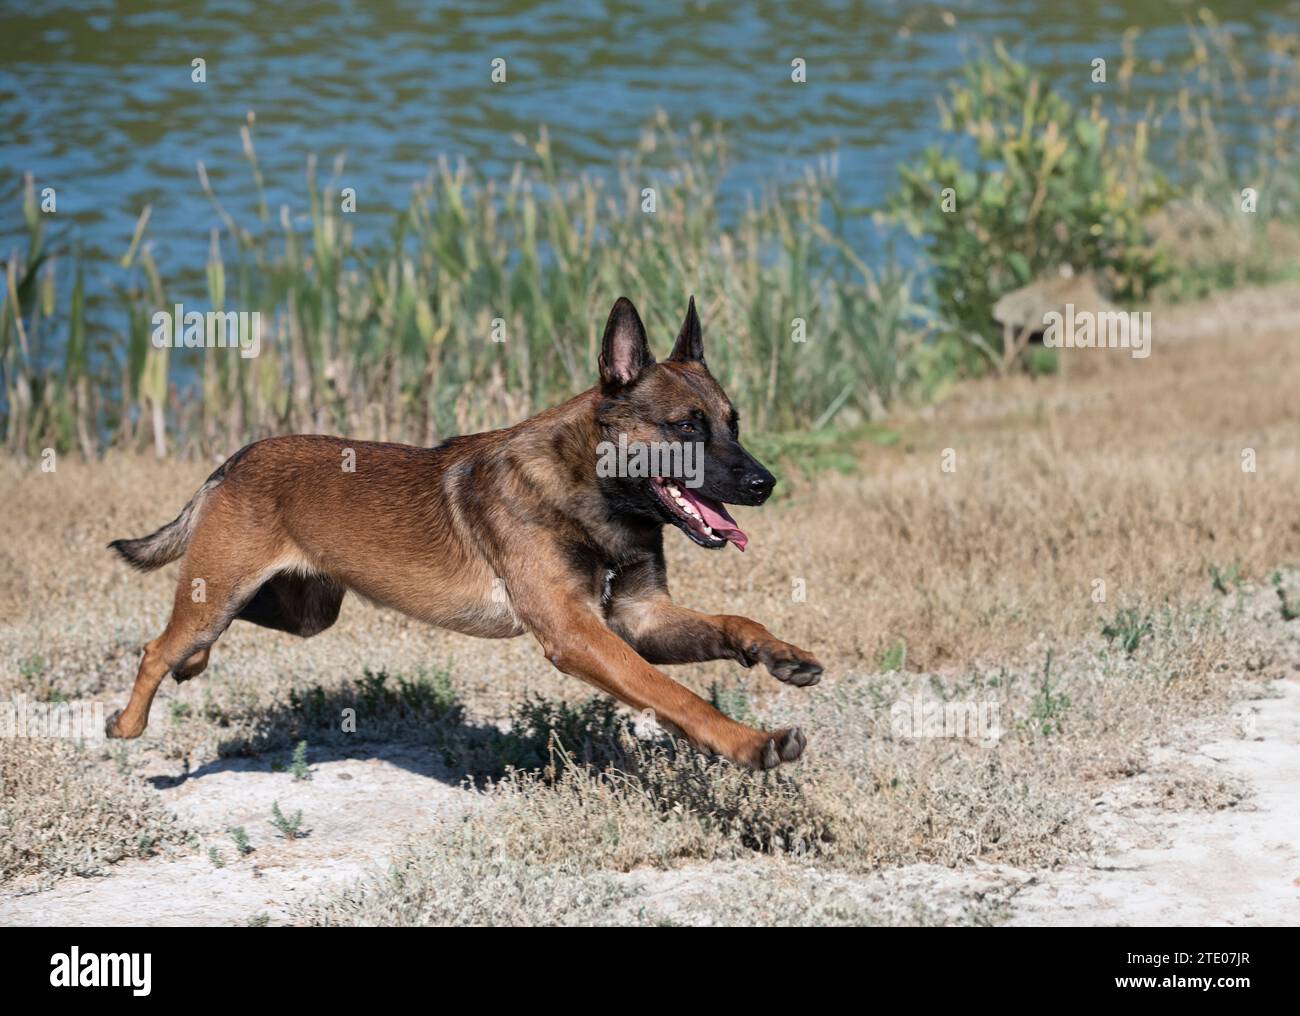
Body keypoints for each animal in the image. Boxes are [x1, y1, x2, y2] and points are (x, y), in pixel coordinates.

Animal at [109, 298, 821, 769]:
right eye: (687, 427)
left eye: (734, 422)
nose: (765, 483)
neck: (591, 490)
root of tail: (235, 460)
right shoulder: (578, 635)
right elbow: (675, 697)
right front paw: (750, 743)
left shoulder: (638, 618)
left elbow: (733, 623)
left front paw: (778, 653)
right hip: (220, 592)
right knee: (157, 646)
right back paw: (128, 722)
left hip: (305, 609)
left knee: (199, 638)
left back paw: (192, 667)